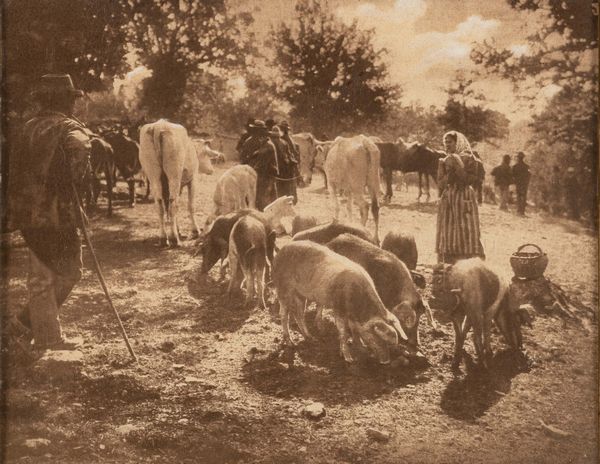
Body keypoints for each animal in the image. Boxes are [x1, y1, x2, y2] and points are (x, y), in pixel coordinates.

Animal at [139, 118, 214, 246]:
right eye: (207, 155)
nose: (212, 170)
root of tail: (159, 125)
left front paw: (178, 230)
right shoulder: (193, 179)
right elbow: (191, 205)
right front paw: (195, 231)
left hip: (153, 175)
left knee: (160, 205)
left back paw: (164, 238)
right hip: (174, 175)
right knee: (173, 203)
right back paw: (174, 239)